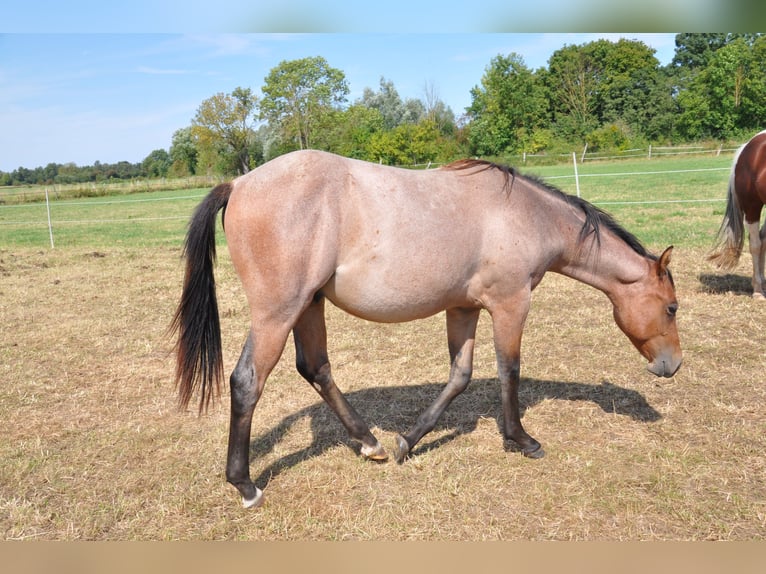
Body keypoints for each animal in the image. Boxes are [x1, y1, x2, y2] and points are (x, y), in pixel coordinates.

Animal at [171, 149, 682, 509]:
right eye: (673, 308)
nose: (672, 366)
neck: (524, 214)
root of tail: (238, 183)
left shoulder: (464, 308)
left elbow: (460, 376)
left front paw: (407, 441)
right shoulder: (511, 304)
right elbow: (509, 370)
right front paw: (521, 440)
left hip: (309, 306)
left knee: (315, 368)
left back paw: (371, 444)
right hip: (278, 313)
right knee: (247, 381)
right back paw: (245, 485)